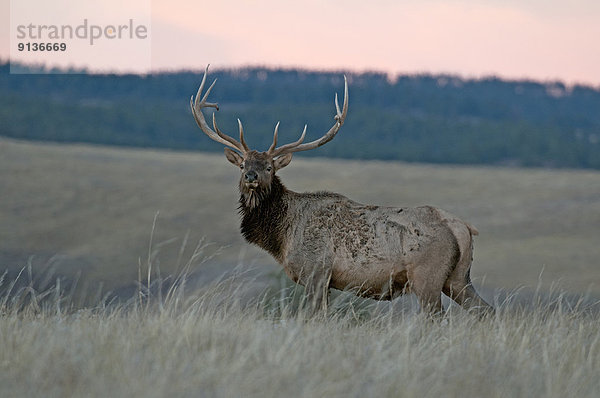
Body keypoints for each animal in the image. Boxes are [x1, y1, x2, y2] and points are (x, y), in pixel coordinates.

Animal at [191, 65, 492, 316]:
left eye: (269, 167)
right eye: (243, 164)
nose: (251, 176)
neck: (283, 236)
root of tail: (463, 228)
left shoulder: (316, 271)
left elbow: (313, 317)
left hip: (427, 276)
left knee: (437, 318)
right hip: (457, 278)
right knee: (486, 311)